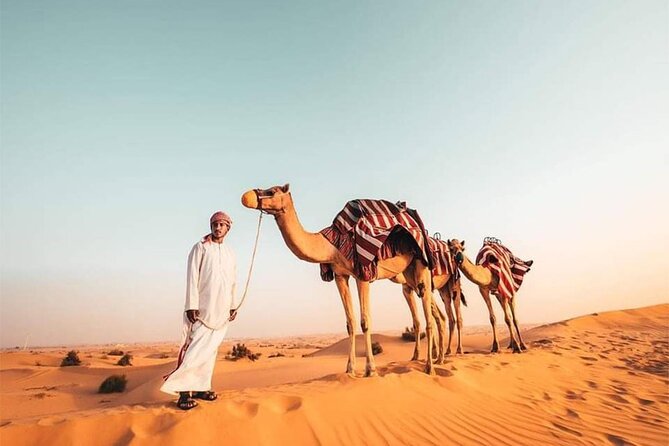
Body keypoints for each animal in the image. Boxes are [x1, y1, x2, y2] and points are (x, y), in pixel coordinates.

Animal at [241, 184, 437, 375]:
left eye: (272, 191)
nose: (246, 197)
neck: (332, 246)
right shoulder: (340, 276)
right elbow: (350, 322)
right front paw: (350, 369)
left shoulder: (363, 272)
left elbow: (365, 321)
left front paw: (370, 369)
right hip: (407, 274)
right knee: (426, 314)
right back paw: (426, 358)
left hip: (421, 263)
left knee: (429, 315)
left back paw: (430, 366)